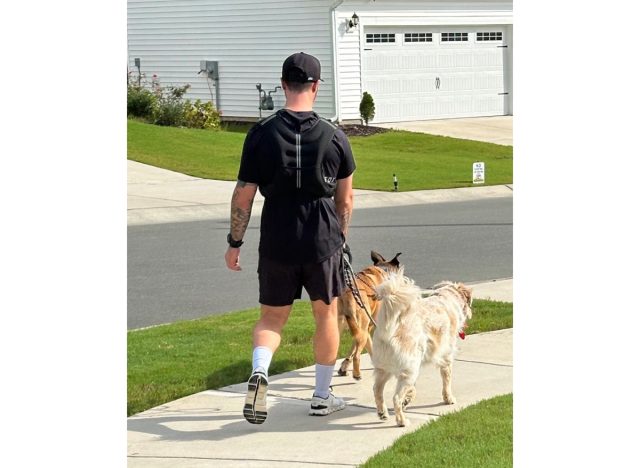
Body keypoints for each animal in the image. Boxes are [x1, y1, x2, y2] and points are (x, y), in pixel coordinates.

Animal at [336, 250, 400, 378]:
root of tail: (347, 296)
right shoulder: (369, 325)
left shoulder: (363, 328)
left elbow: (365, 345)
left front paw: (344, 366)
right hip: (362, 323)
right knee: (357, 354)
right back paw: (357, 374)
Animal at [372, 270, 472, 428]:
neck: (446, 297)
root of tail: (388, 330)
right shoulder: (446, 355)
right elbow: (447, 380)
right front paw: (448, 398)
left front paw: (409, 398)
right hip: (410, 368)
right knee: (396, 398)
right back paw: (402, 421)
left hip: (384, 368)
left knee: (377, 389)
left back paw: (383, 413)